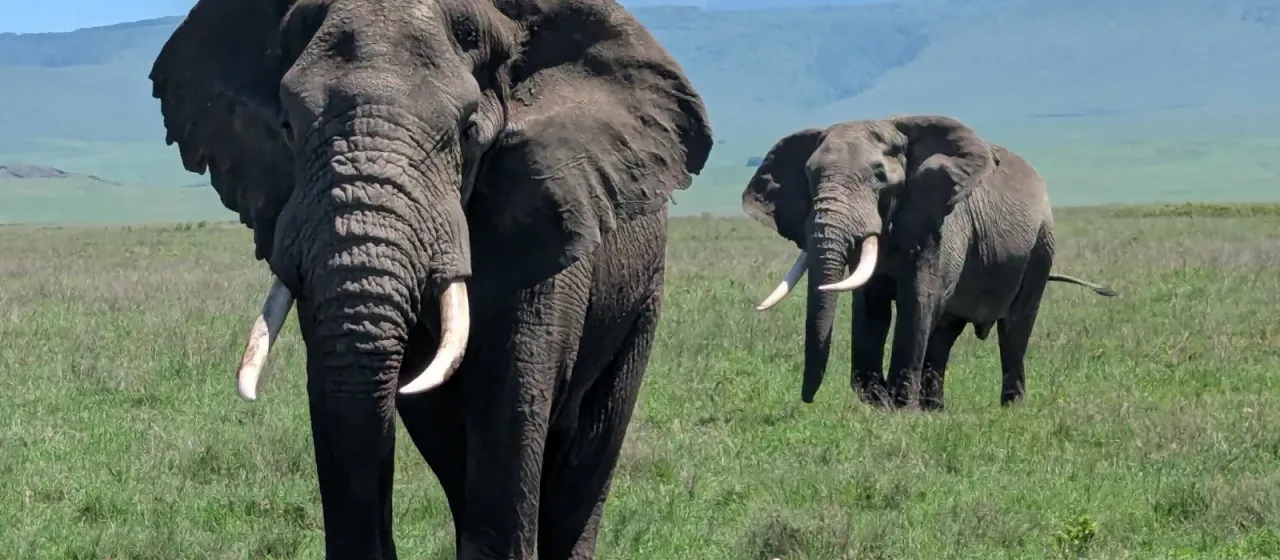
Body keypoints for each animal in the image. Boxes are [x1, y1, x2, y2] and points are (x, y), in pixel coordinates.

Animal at [147, 0, 713, 557]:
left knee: (588, 453)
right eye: (287, 127)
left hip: (642, 295)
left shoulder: (546, 213)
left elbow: (511, 390)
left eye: (466, 132)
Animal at [741, 115, 1114, 410]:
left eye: (879, 176)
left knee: (1015, 327)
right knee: (945, 331)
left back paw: (1010, 407)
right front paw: (879, 402)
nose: (807, 399)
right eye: (808, 177)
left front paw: (898, 408)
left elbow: (916, 302)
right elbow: (871, 308)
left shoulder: (941, 224)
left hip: (1041, 244)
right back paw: (933, 408)